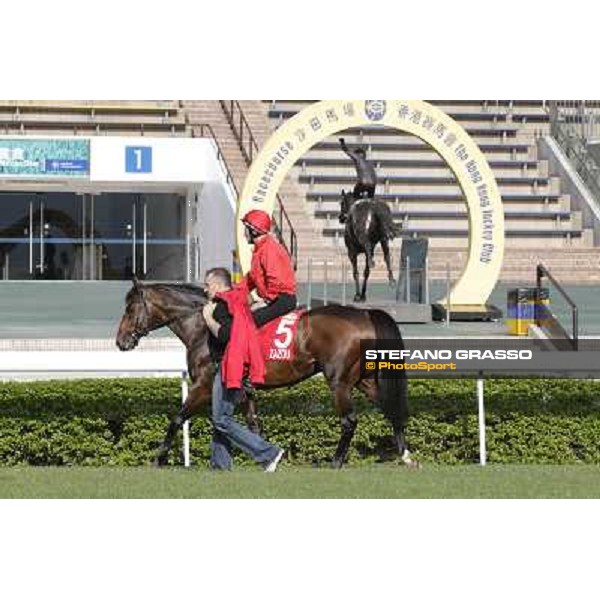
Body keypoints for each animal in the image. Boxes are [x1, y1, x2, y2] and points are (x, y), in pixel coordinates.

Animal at [116, 278, 418, 472]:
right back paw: (405, 455)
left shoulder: (203, 385)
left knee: (350, 420)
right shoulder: (243, 390)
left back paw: (335, 461)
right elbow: (252, 424)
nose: (121, 342)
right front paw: (267, 457)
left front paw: (158, 459)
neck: (205, 328)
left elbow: (177, 418)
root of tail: (366, 314)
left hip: (339, 381)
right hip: (365, 380)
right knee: (391, 410)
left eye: (130, 308)